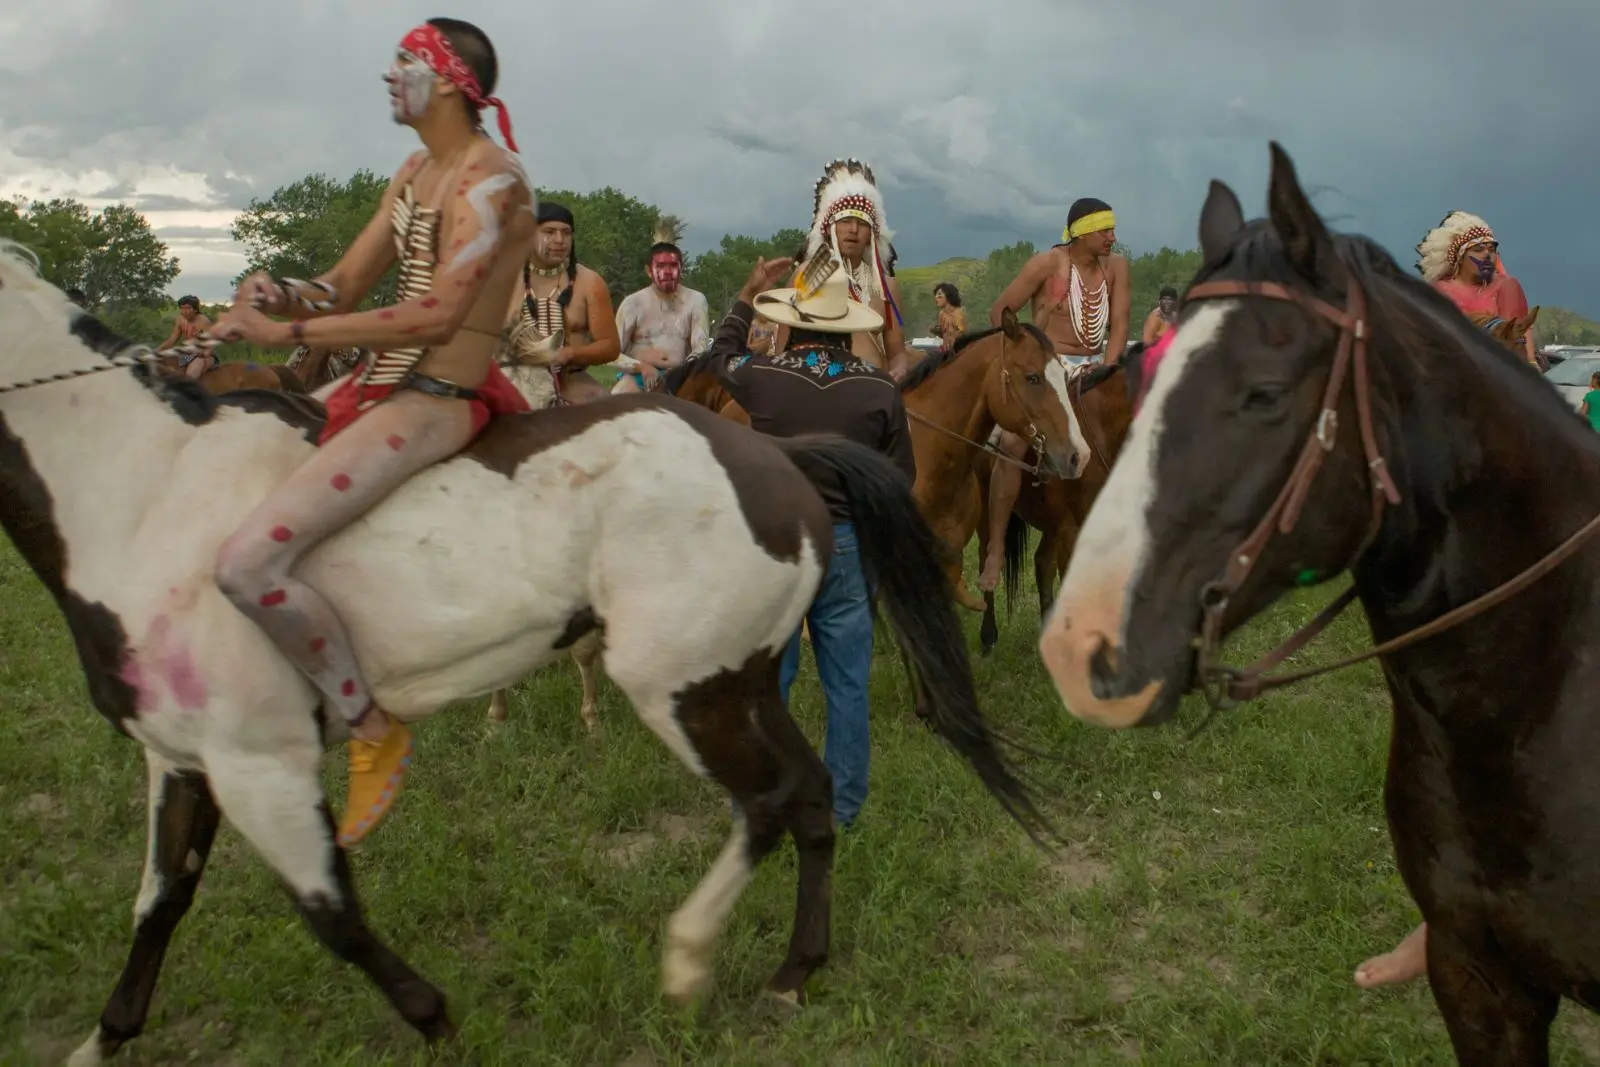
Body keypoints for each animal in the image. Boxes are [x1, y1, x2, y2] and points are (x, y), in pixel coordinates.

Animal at [0, 242, 1050, 1060]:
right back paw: (795, 968)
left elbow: (332, 912)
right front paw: (105, 1034)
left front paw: (435, 1018)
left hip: (682, 692)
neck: (146, 491)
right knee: (813, 794)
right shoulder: (184, 759)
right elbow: (159, 901)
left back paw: (691, 953)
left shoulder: (259, 763)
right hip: (738, 683)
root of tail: (781, 457)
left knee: (769, 801)